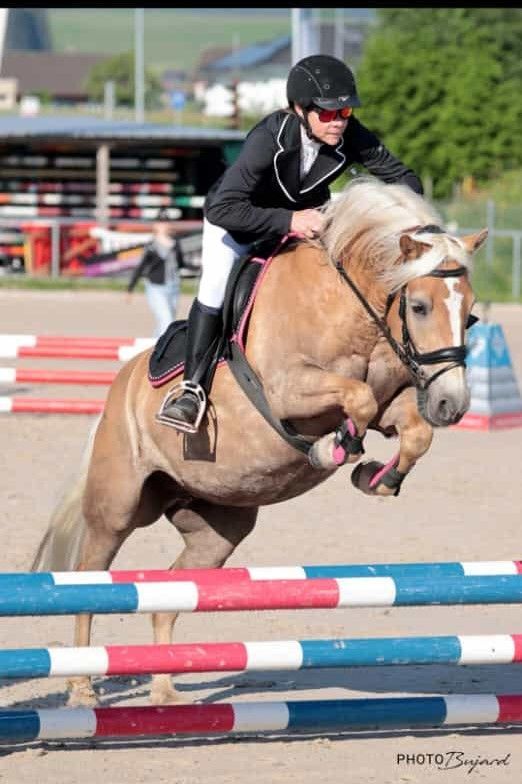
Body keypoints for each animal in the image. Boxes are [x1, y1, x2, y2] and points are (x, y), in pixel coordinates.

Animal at [31, 178, 484, 704]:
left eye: (471, 316)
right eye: (419, 306)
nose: (453, 404)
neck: (352, 308)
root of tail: (117, 389)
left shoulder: (393, 405)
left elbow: (411, 430)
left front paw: (376, 477)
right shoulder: (289, 390)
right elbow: (358, 398)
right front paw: (332, 448)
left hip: (216, 528)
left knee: (168, 596)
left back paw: (165, 691)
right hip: (118, 508)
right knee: (90, 579)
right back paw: (82, 688)